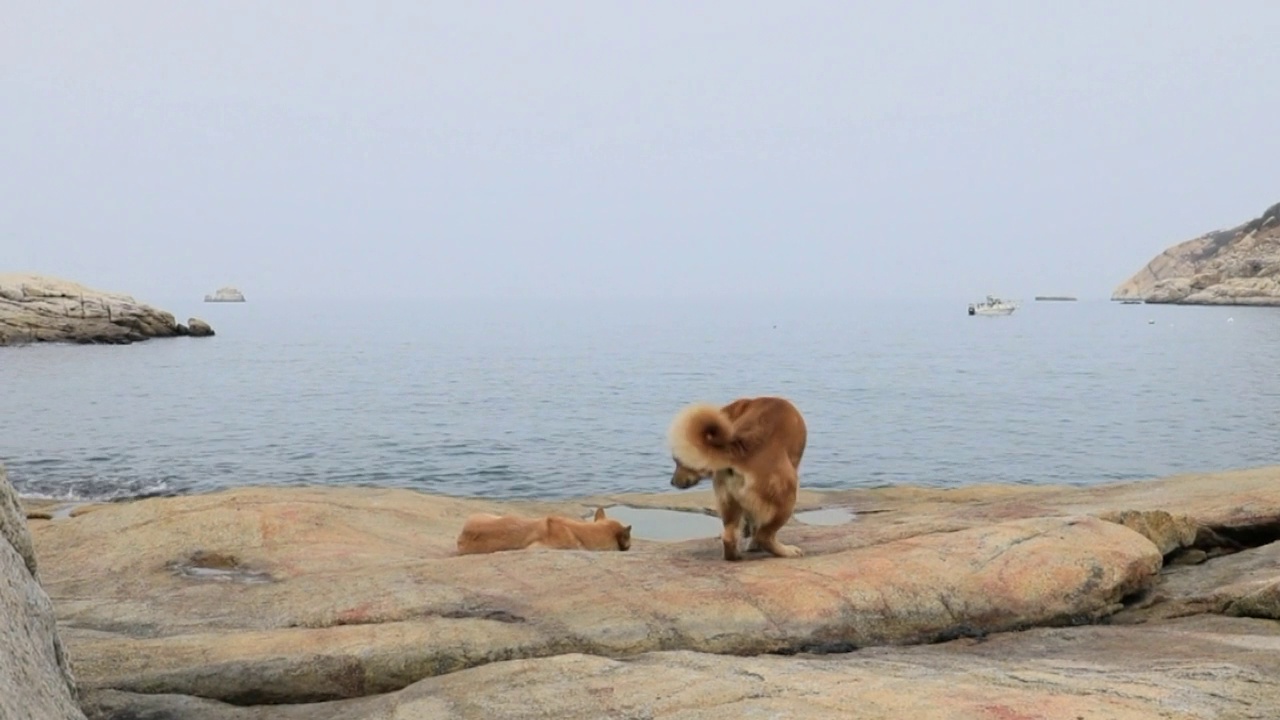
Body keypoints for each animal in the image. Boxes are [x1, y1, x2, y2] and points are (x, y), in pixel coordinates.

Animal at [665, 394, 803, 558]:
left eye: (679, 461)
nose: (672, 482)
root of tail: (739, 450)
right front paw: (753, 544)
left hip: (727, 500)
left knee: (729, 536)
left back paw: (735, 555)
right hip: (786, 499)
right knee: (764, 536)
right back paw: (786, 551)